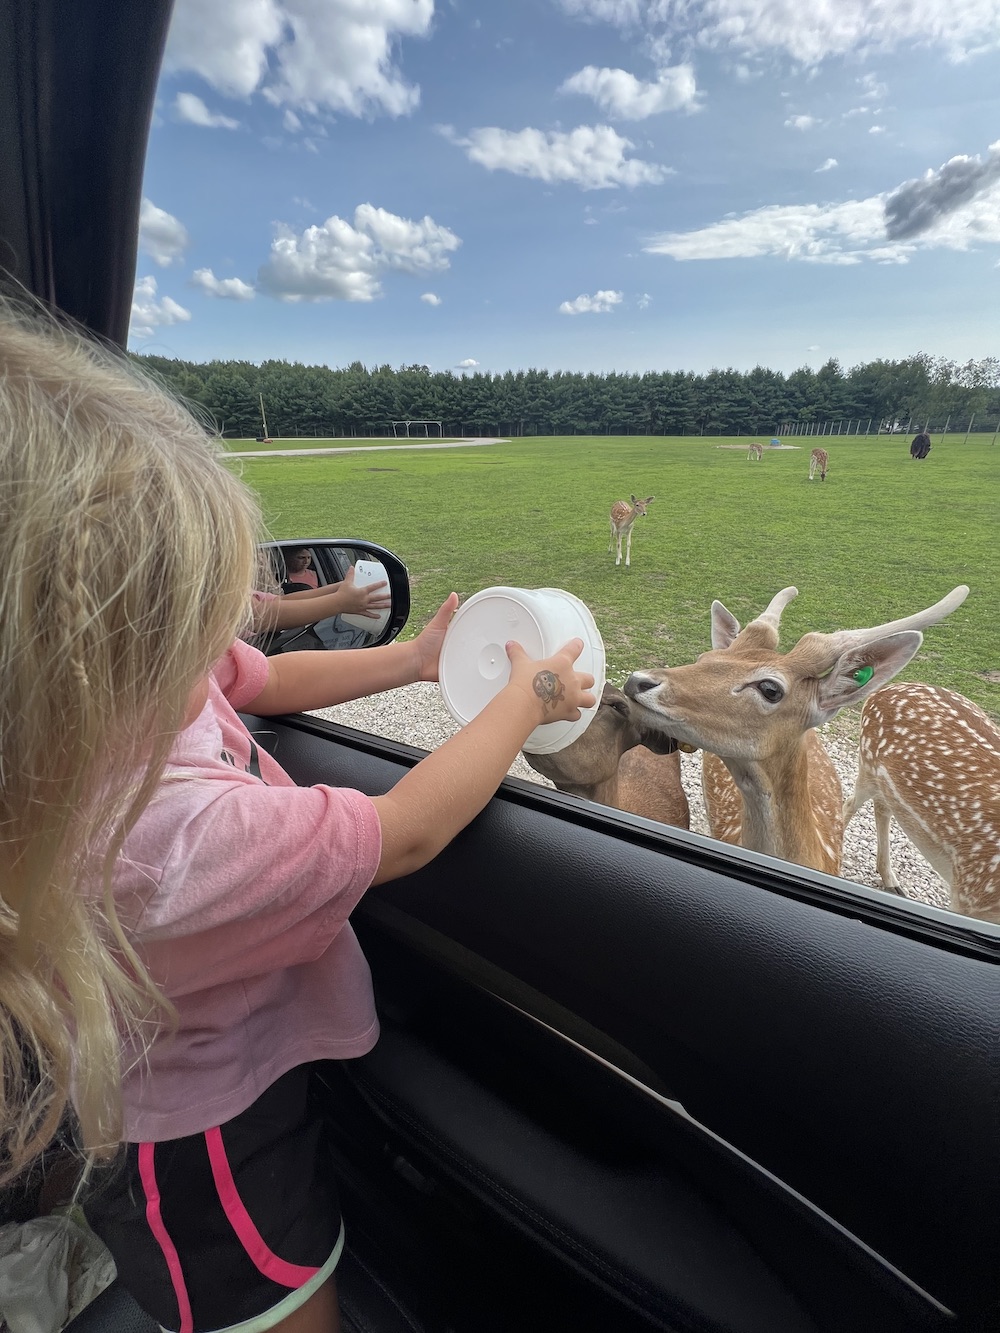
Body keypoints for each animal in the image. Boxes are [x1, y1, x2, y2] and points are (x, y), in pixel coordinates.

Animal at [848, 682, 1000, 922]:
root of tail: (880, 691)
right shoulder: (969, 897)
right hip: (867, 763)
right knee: (850, 803)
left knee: (882, 808)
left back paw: (891, 882)